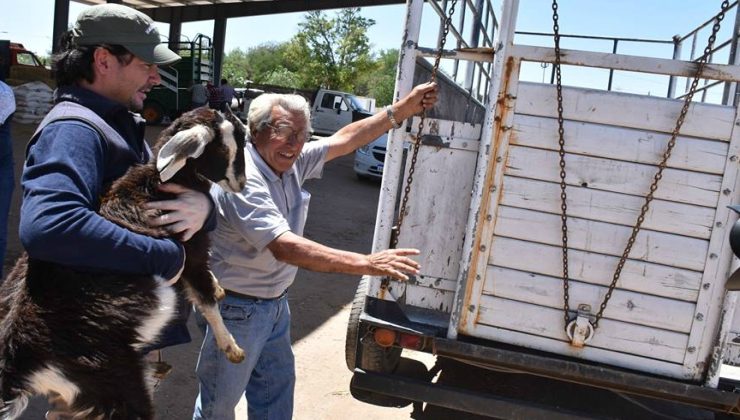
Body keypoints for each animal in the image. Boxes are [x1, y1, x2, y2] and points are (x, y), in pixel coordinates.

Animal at [0, 106, 249, 418]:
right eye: (225, 148)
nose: (242, 183)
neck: (162, 183)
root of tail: (20, 366)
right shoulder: (191, 255)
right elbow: (206, 301)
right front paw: (232, 348)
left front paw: (219, 287)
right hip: (114, 380)